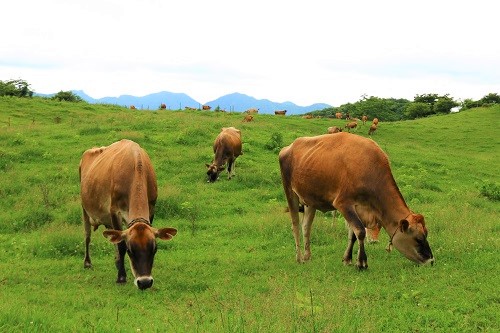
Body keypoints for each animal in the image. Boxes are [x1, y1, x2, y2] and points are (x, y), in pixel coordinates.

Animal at [80, 139, 178, 290]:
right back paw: (87, 262)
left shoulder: (152, 208)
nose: (145, 282)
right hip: (84, 208)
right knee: (87, 235)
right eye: (130, 250)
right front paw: (121, 277)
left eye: (154, 249)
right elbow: (120, 244)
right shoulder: (115, 211)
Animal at [278, 132, 434, 268]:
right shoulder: (343, 203)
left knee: (306, 227)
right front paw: (362, 263)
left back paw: (307, 256)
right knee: (295, 225)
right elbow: (360, 231)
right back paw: (299, 258)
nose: (431, 261)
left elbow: (353, 234)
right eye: (418, 239)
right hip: (289, 191)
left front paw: (348, 259)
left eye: (426, 234)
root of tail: (289, 146)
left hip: (310, 199)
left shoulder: (359, 208)